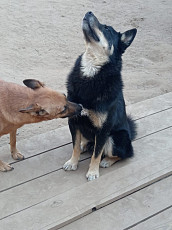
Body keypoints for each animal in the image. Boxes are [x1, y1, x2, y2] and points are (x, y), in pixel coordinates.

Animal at [63, 11, 137, 181]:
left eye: (107, 29)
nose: (89, 12)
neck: (91, 71)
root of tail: (129, 133)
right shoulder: (74, 121)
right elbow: (74, 146)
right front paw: (73, 162)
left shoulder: (103, 130)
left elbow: (97, 153)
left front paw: (92, 172)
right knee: (86, 143)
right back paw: (85, 145)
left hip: (116, 138)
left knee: (123, 154)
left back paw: (107, 161)